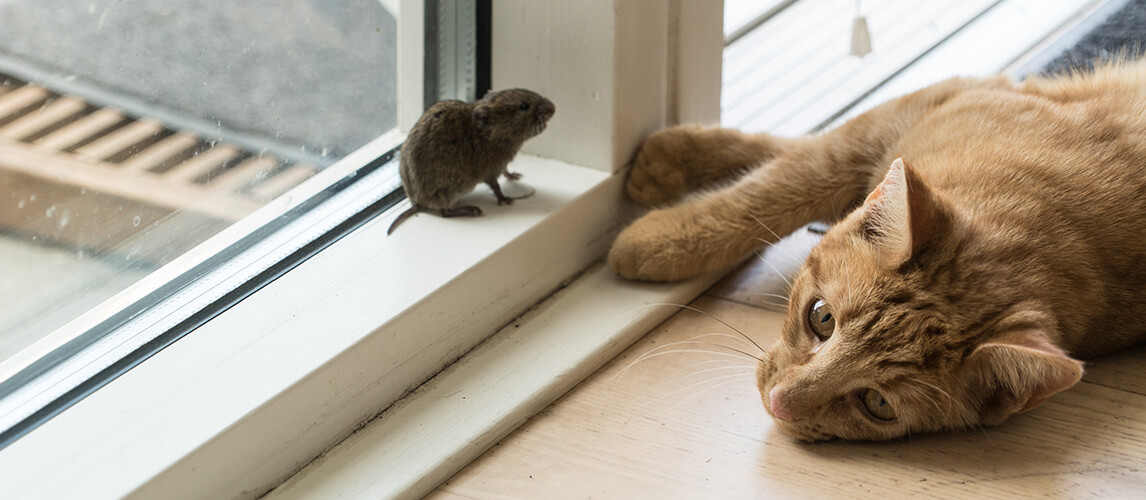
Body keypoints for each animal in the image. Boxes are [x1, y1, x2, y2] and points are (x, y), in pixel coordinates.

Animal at [614, 60, 1146, 440]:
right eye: (821, 318)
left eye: (878, 404)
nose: (779, 403)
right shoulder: (914, 109)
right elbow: (787, 175)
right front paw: (665, 211)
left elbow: (789, 170)